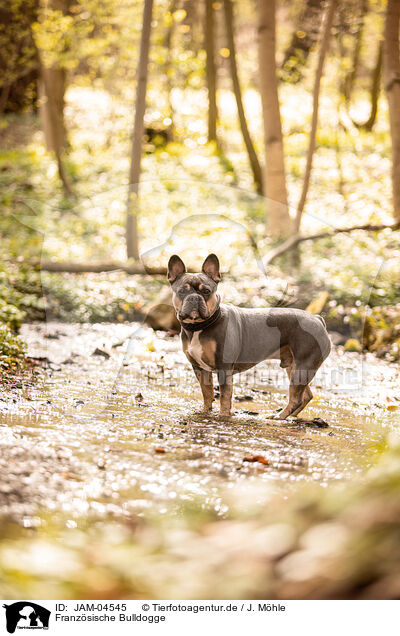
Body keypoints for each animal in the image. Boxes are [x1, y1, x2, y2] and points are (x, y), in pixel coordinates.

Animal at [166, 256, 332, 420]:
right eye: (182, 291)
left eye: (206, 291)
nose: (194, 298)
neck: (200, 326)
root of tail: (318, 319)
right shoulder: (199, 368)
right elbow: (207, 392)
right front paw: (205, 411)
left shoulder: (223, 367)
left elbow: (225, 395)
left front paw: (223, 415)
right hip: (294, 366)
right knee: (306, 396)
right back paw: (290, 416)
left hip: (303, 366)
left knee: (296, 398)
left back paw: (279, 416)